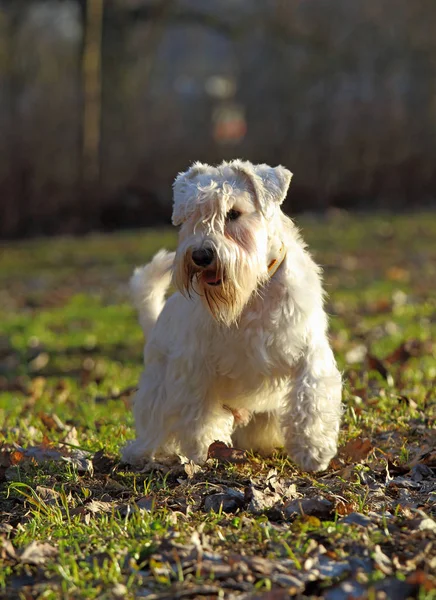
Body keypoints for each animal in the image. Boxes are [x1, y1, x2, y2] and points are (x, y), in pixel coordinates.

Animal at [121, 161, 342, 474]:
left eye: (233, 213)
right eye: (192, 214)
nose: (201, 255)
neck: (252, 293)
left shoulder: (308, 349)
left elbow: (309, 395)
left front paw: (313, 449)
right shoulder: (196, 364)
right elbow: (199, 414)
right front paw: (203, 450)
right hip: (158, 386)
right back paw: (142, 453)